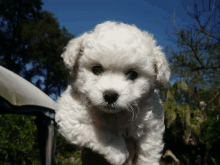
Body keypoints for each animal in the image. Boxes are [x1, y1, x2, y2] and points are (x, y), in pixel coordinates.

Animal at [55, 21, 170, 165]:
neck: (113, 114)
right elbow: (99, 133)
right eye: (96, 69)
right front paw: (118, 151)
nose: (110, 95)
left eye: (132, 74)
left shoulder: (151, 126)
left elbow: (148, 152)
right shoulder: (70, 116)